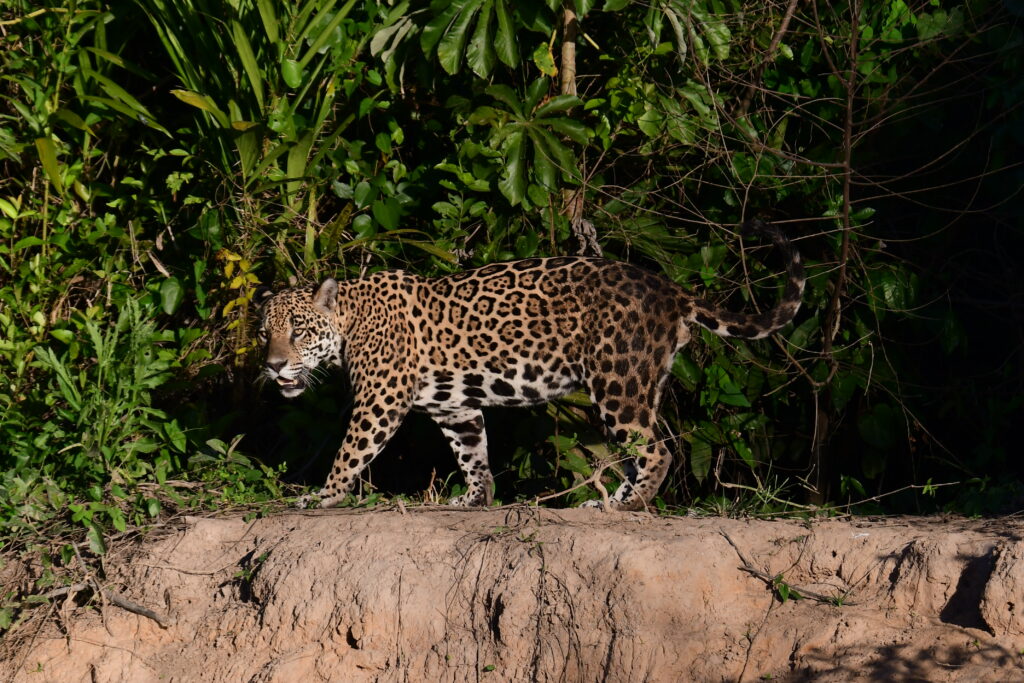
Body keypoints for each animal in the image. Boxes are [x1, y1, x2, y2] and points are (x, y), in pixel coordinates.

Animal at [255, 219, 805, 511]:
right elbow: (472, 453)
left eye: (299, 331)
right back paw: (611, 499)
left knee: (658, 448)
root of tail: (670, 289)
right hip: (641, 383)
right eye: (265, 334)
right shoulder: (453, 406)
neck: (351, 318)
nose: (274, 366)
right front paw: (476, 499)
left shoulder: (380, 399)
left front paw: (324, 496)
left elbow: (351, 450)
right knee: (642, 447)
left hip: (617, 381)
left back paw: (629, 503)